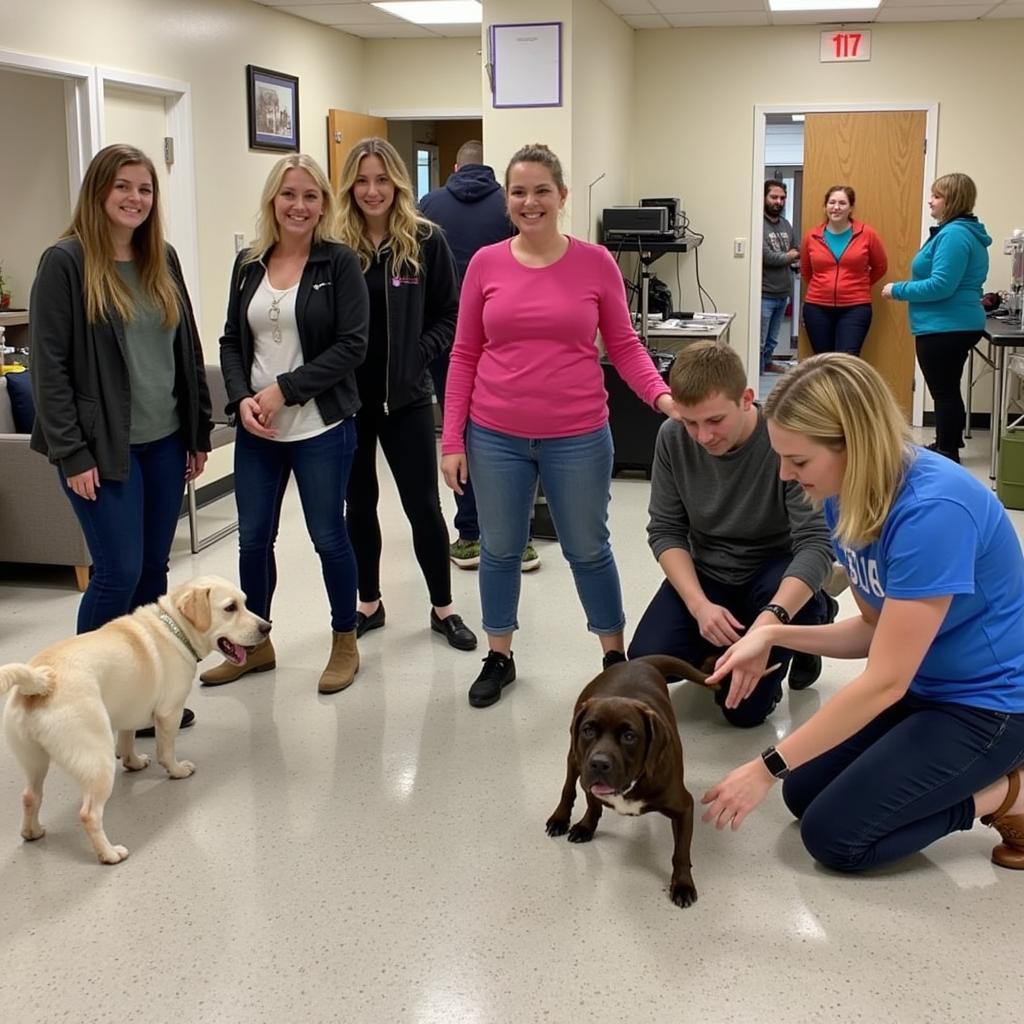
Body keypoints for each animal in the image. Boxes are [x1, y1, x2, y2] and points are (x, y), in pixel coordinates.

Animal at [0, 577, 268, 864]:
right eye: (230, 608)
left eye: (245, 602)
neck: (174, 629)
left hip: (33, 761)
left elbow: (128, 740)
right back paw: (109, 854)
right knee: (89, 814)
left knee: (30, 797)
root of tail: (38, 684)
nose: (267, 627)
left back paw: (32, 832)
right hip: (98, 760)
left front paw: (134, 763)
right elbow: (166, 751)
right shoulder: (169, 713)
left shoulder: (130, 710)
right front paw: (176, 771)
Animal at [544, 655, 712, 905]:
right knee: (568, 789)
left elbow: (680, 853)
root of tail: (638, 661)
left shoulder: (684, 807)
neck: (632, 783)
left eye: (629, 736)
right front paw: (586, 826)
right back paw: (560, 818)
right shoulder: (588, 779)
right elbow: (591, 804)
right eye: (588, 730)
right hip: (575, 758)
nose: (599, 764)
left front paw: (682, 884)